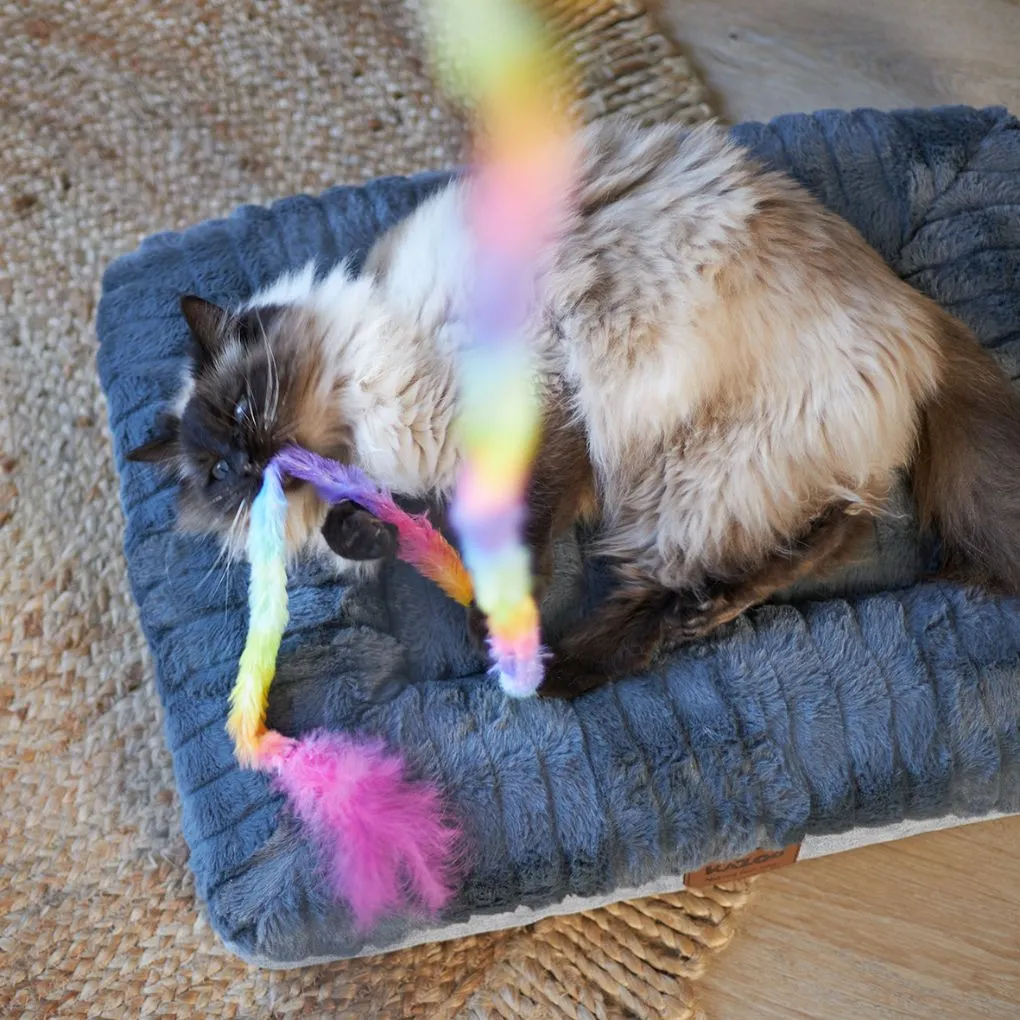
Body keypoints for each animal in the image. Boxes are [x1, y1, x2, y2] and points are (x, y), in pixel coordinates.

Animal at [131, 117, 1020, 693]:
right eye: (219, 475)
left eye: (244, 411)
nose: (249, 461)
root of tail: (915, 311)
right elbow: (397, 528)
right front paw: (365, 533)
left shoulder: (541, 402)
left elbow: (518, 529)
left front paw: (489, 613)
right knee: (829, 530)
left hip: (690, 478)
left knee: (817, 537)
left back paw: (554, 668)